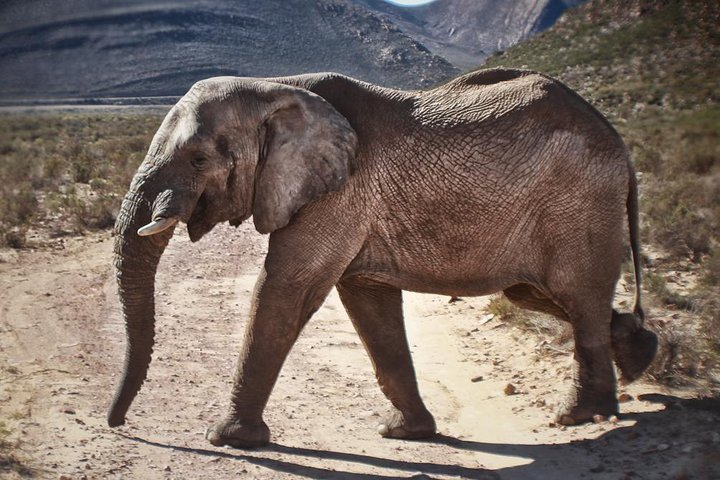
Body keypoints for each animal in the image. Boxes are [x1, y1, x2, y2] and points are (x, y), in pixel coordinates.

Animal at [107, 68, 658, 448]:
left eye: (199, 159)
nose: (119, 425)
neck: (274, 86)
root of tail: (621, 143)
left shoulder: (338, 193)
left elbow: (288, 288)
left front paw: (227, 439)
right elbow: (368, 302)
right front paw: (406, 432)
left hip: (580, 202)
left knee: (575, 295)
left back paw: (580, 415)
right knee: (538, 295)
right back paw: (640, 357)